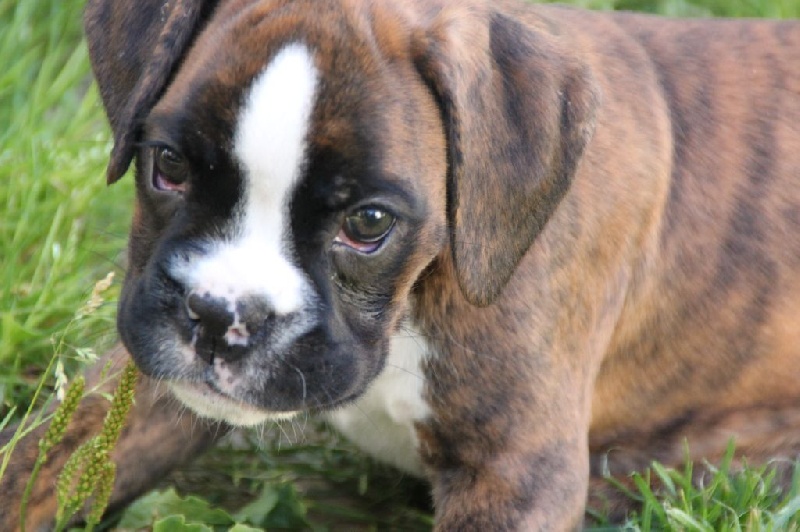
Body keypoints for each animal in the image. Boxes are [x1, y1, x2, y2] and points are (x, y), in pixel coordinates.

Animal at [2, 0, 799, 529]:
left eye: (369, 223)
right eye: (167, 165)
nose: (218, 317)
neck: (417, 294)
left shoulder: (513, 472)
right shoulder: (145, 387)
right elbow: (37, 465)